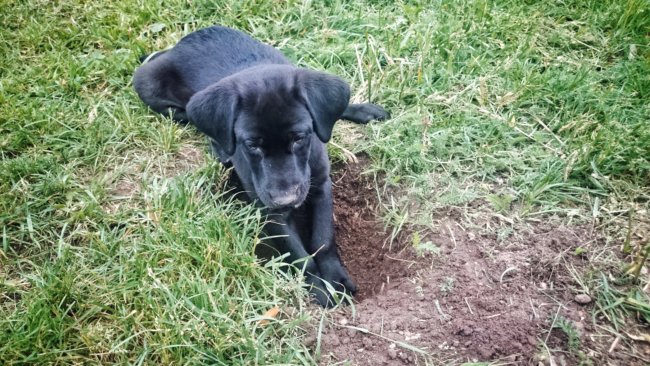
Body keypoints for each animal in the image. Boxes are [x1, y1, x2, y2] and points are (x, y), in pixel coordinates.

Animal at [132, 25, 384, 306]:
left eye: (299, 138)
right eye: (252, 145)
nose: (285, 200)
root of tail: (175, 46)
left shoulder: (321, 183)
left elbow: (323, 238)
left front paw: (335, 278)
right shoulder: (269, 209)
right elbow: (298, 255)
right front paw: (317, 287)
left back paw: (362, 110)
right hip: (151, 88)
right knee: (187, 116)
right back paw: (220, 148)